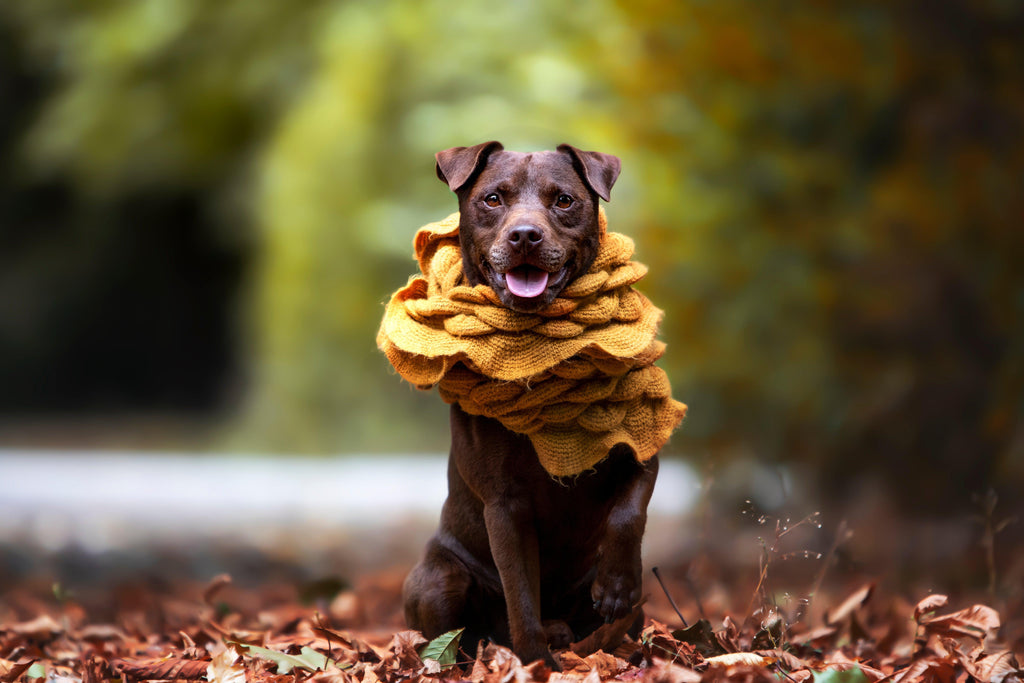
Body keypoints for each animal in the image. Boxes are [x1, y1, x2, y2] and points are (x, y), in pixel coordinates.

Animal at [399, 141, 655, 671]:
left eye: (564, 200)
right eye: (493, 199)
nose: (524, 235)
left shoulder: (642, 442)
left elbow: (628, 514)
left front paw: (617, 584)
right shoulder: (504, 503)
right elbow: (521, 593)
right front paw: (536, 663)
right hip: (439, 579)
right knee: (461, 632)